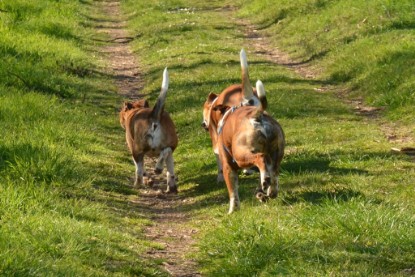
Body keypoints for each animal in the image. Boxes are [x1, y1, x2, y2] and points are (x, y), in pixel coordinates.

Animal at [205, 76, 286, 212]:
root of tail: (257, 115)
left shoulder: (228, 167)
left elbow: (233, 193)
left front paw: (233, 210)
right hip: (275, 155)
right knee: (273, 172)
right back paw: (271, 190)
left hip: (240, 156)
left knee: (260, 158)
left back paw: (265, 181)